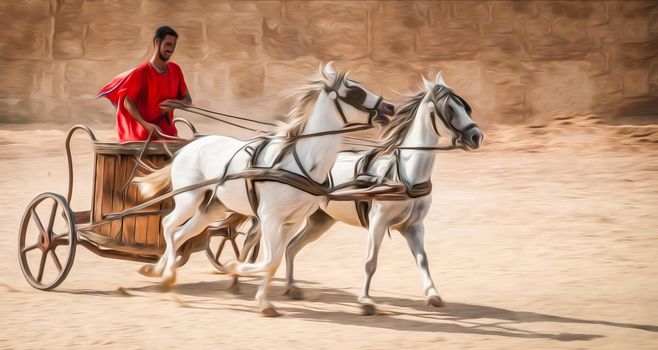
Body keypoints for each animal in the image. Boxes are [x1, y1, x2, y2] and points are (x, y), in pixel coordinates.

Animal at [133, 63, 390, 318]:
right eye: (355, 92)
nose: (388, 107)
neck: (298, 162)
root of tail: (189, 146)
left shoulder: (292, 221)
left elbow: (275, 259)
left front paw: (262, 300)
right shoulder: (269, 218)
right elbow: (269, 260)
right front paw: (238, 272)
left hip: (211, 209)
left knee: (180, 234)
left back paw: (161, 273)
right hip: (189, 199)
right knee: (168, 225)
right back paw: (167, 276)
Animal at [282, 74, 482, 314]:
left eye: (465, 107)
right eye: (450, 108)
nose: (477, 136)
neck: (405, 175)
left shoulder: (414, 226)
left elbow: (422, 259)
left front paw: (433, 294)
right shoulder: (377, 221)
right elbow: (370, 261)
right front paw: (366, 300)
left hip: (320, 221)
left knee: (291, 247)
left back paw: (291, 287)